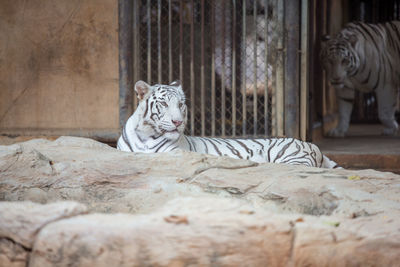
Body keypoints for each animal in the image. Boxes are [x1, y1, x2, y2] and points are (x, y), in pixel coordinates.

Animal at [117, 81, 340, 169]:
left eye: (181, 104)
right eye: (164, 104)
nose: (178, 122)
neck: (147, 135)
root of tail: (312, 145)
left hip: (292, 157)